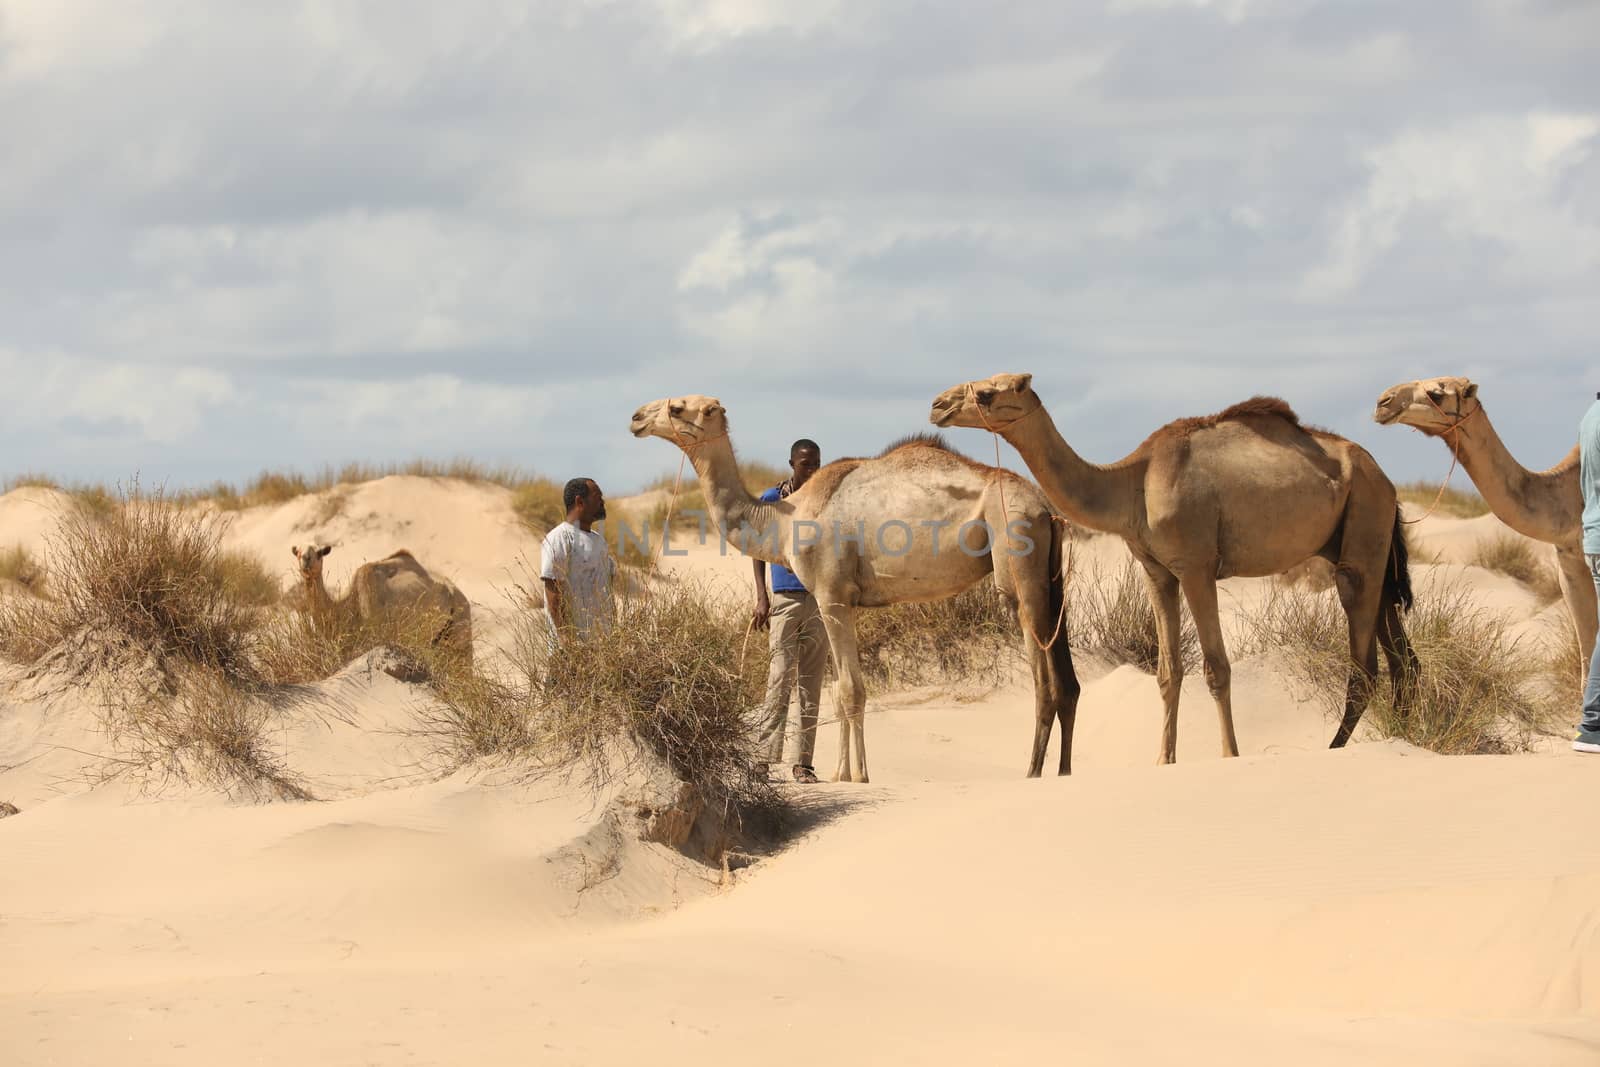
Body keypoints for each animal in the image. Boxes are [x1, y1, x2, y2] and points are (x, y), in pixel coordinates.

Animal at [630, 396, 1081, 780]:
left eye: (678, 406)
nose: (636, 417)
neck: (783, 520)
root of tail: (1044, 506)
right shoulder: (840, 601)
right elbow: (837, 689)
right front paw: (840, 773)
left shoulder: (831, 596)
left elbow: (851, 689)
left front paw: (860, 776)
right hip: (1050, 571)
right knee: (1068, 678)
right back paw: (1063, 770)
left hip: (1014, 545)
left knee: (1041, 671)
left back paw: (1033, 771)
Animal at [934, 371, 1420, 764]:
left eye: (987, 393)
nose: (939, 404)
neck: (1130, 485)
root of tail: (1386, 479)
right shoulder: (1158, 572)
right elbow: (1168, 673)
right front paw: (1163, 760)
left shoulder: (1196, 566)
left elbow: (1217, 668)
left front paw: (1229, 755)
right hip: (1365, 541)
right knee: (1402, 657)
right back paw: (1406, 735)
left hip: (1363, 524)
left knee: (1364, 659)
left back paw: (1336, 748)